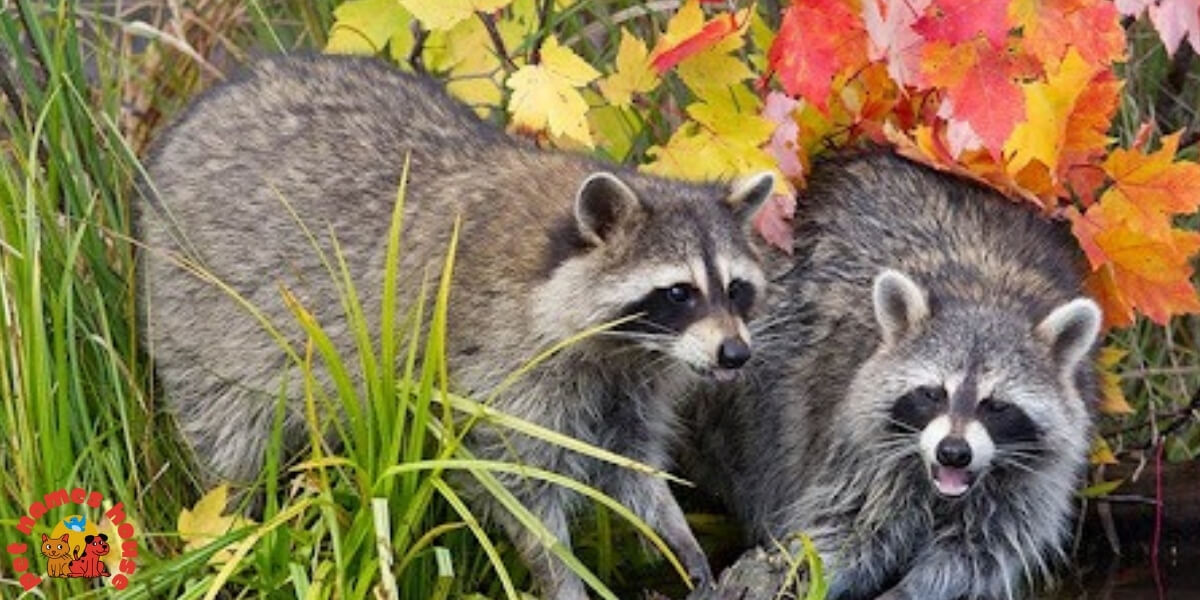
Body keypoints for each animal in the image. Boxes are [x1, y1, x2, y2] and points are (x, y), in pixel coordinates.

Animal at [137, 55, 773, 598]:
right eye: (679, 293)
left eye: (735, 289)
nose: (735, 354)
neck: (625, 350)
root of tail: (199, 112)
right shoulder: (497, 370)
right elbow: (519, 491)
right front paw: (560, 574)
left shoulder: (627, 391)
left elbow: (632, 466)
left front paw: (676, 533)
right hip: (196, 314)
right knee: (230, 442)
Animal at [682, 153, 1101, 600]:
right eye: (933, 393)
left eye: (997, 405)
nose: (953, 452)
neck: (983, 293)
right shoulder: (857, 445)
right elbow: (845, 531)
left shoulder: (1032, 484)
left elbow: (978, 553)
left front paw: (917, 587)